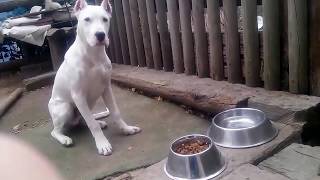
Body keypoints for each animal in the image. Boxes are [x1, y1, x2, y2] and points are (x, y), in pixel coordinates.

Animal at [48, 0, 141, 155]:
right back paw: (64, 138)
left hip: (88, 103)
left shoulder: (107, 88)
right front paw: (102, 144)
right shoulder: (78, 95)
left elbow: (115, 112)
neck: (93, 55)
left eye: (105, 19)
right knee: (56, 131)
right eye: (87, 19)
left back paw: (99, 121)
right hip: (65, 108)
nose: (100, 35)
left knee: (84, 119)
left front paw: (126, 129)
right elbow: (92, 125)